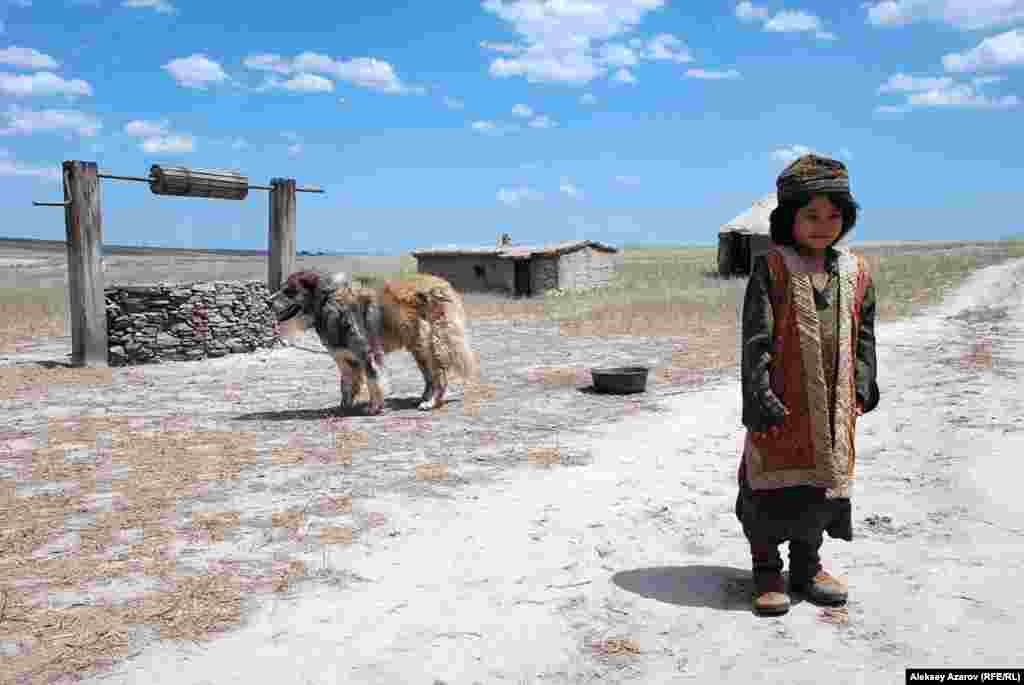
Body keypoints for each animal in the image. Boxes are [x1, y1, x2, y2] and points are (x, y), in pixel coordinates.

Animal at [268, 270, 483, 413]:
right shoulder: (345, 360)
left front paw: (374, 408)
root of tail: (443, 284)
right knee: (431, 377)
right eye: (282, 288)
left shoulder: (368, 354)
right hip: (419, 347)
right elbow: (346, 385)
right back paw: (425, 398)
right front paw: (343, 407)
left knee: (440, 375)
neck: (326, 303)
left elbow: (374, 381)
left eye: (289, 291)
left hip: (432, 343)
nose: (268, 301)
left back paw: (430, 403)